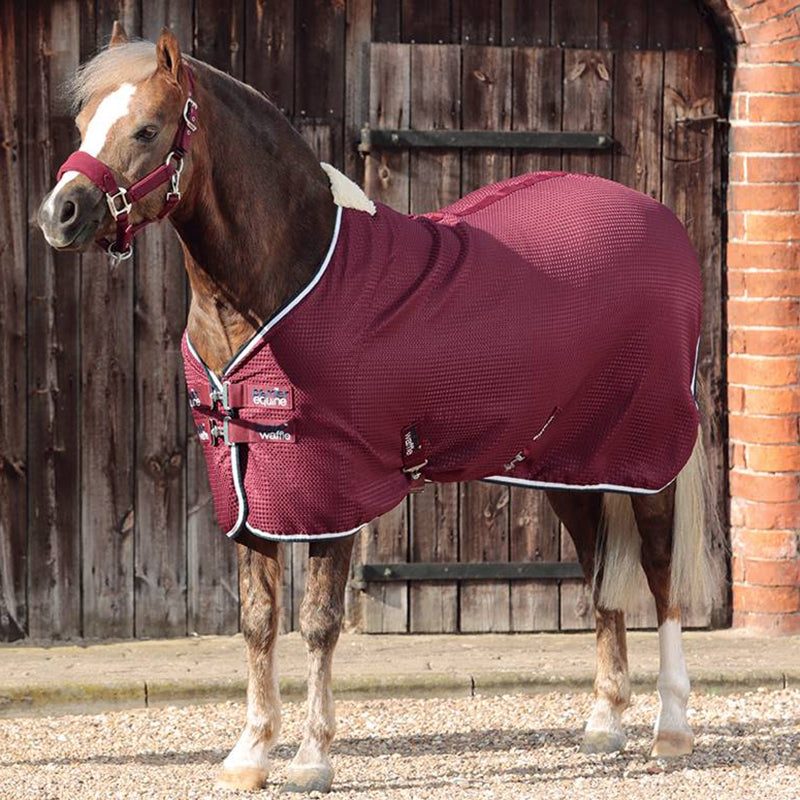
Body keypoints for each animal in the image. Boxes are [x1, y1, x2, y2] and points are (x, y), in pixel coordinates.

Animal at [38, 23, 719, 794]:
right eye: (83, 125)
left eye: (148, 129)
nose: (59, 214)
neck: (289, 277)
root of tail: (660, 220)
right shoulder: (244, 478)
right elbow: (258, 620)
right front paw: (250, 753)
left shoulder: (333, 487)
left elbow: (318, 622)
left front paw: (312, 758)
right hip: (569, 466)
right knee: (600, 573)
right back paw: (604, 724)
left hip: (646, 453)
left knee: (660, 574)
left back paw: (671, 730)